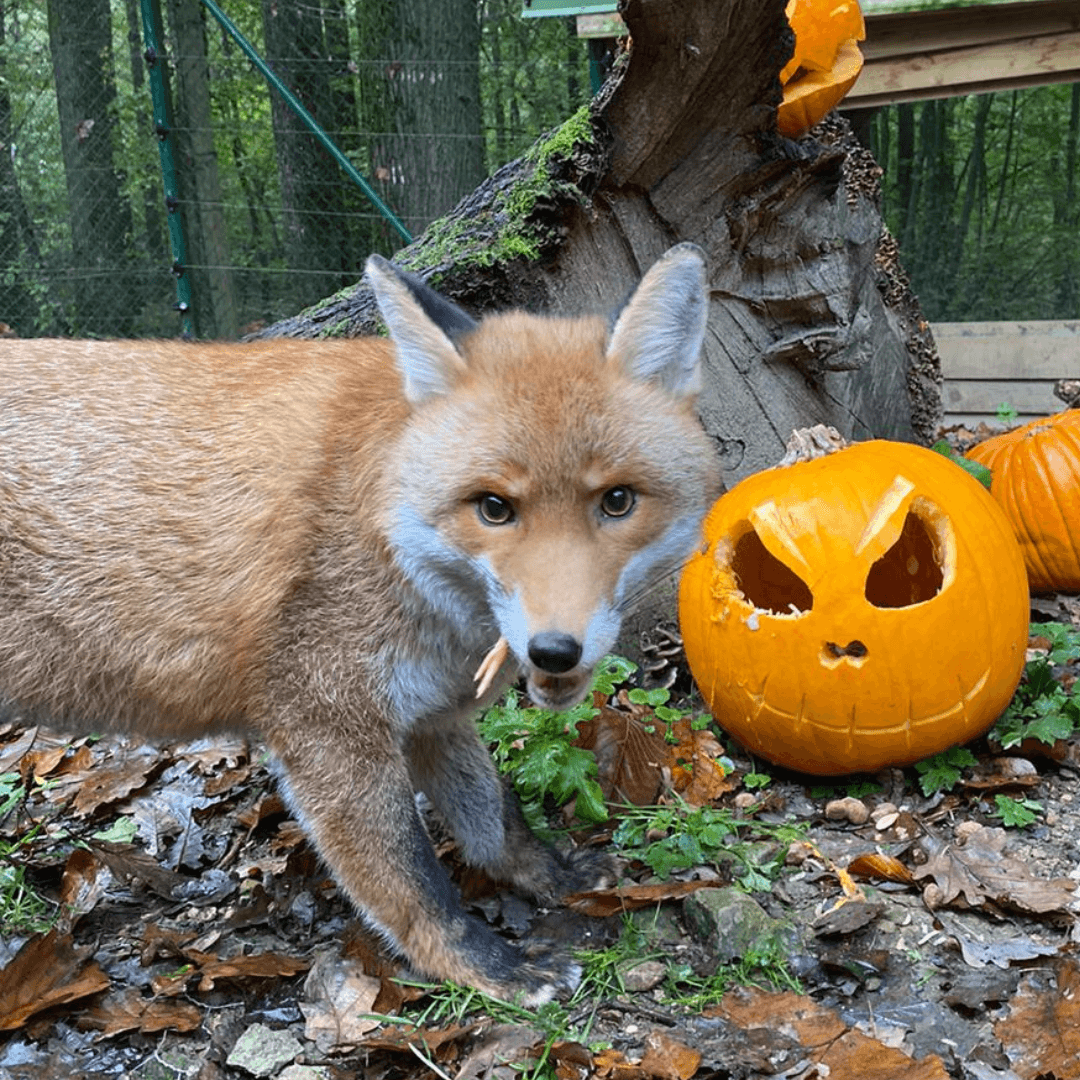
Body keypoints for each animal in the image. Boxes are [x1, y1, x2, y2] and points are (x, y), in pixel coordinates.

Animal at [2, 245, 725, 1002]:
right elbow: (414, 881)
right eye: (494, 509)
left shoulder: (434, 713)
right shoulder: (327, 728)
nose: (554, 651)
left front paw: (554, 876)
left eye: (617, 501)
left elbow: (496, 816)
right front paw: (487, 967)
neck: (388, 531)